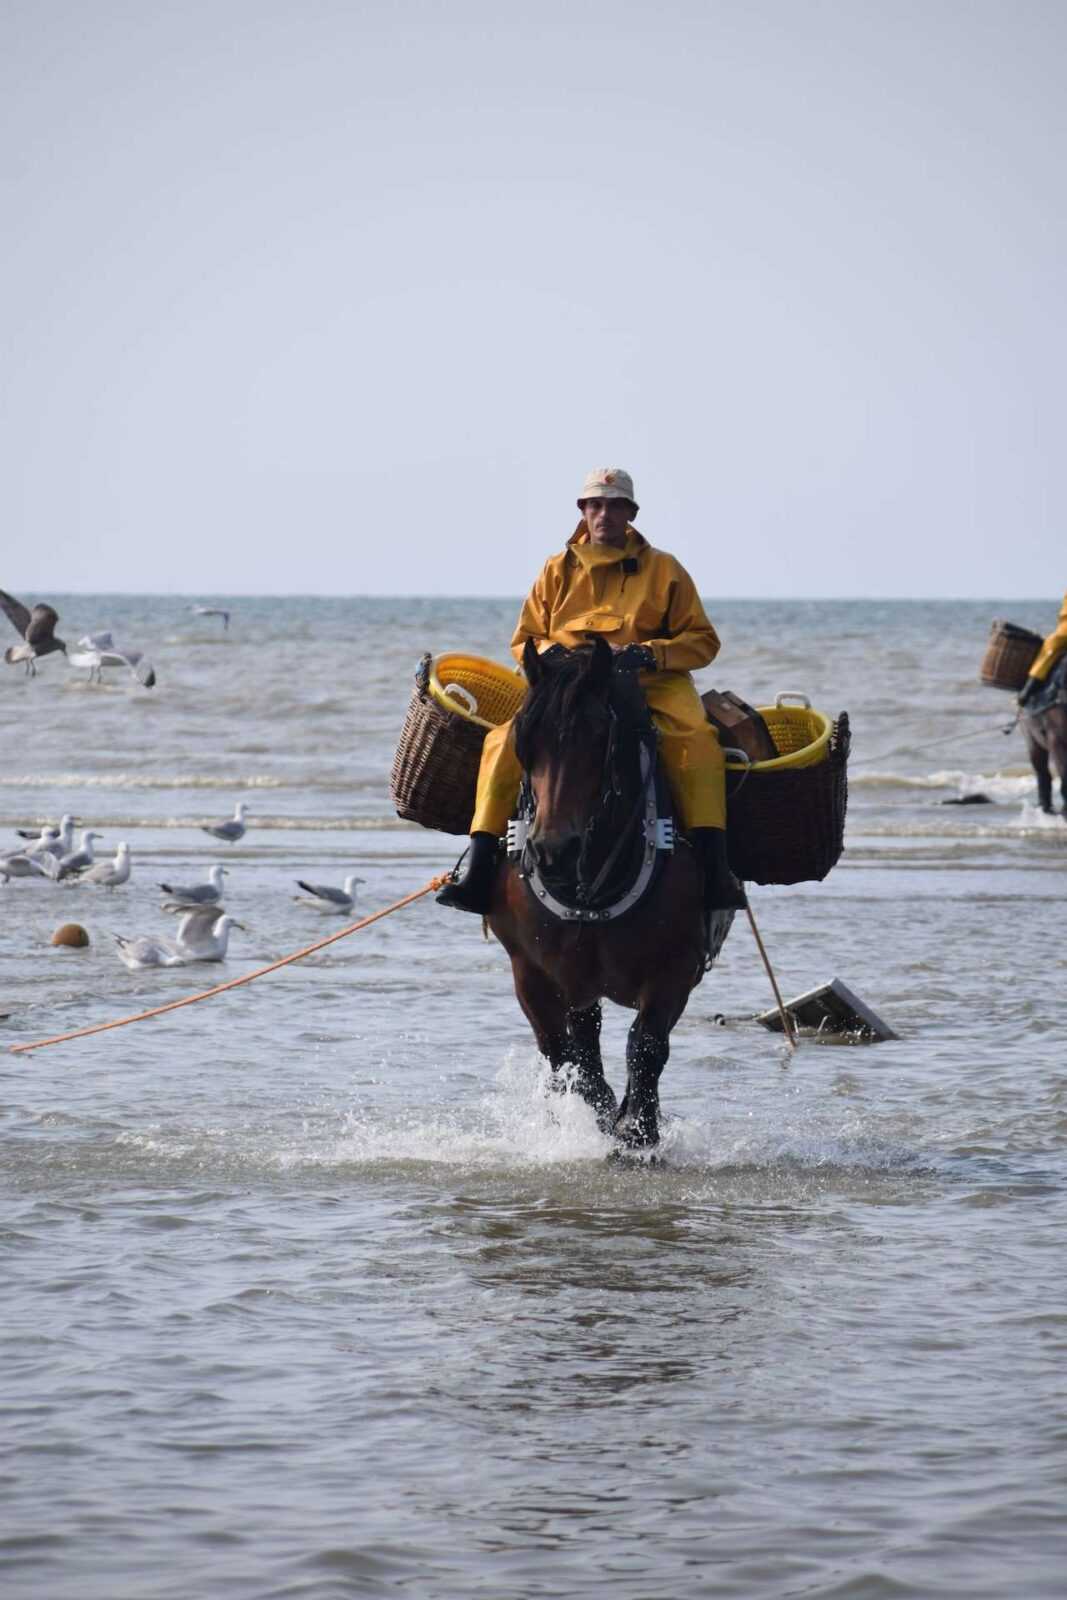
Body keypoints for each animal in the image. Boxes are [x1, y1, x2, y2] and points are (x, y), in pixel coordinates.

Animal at [483, 636, 735, 1152]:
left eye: (599, 735)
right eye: (525, 739)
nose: (552, 850)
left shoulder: (675, 969)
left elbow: (646, 1048)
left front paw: (637, 1133)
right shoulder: (531, 970)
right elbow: (565, 1057)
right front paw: (595, 1119)